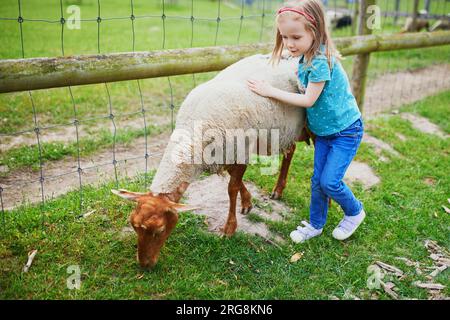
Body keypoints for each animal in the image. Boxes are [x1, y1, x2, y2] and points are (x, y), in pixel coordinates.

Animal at [112, 52, 312, 268]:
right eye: (133, 225)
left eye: (160, 229)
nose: (145, 265)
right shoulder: (222, 155)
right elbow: (234, 179)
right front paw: (247, 202)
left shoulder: (240, 150)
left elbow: (232, 188)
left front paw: (229, 228)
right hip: (289, 131)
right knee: (290, 151)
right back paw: (278, 189)